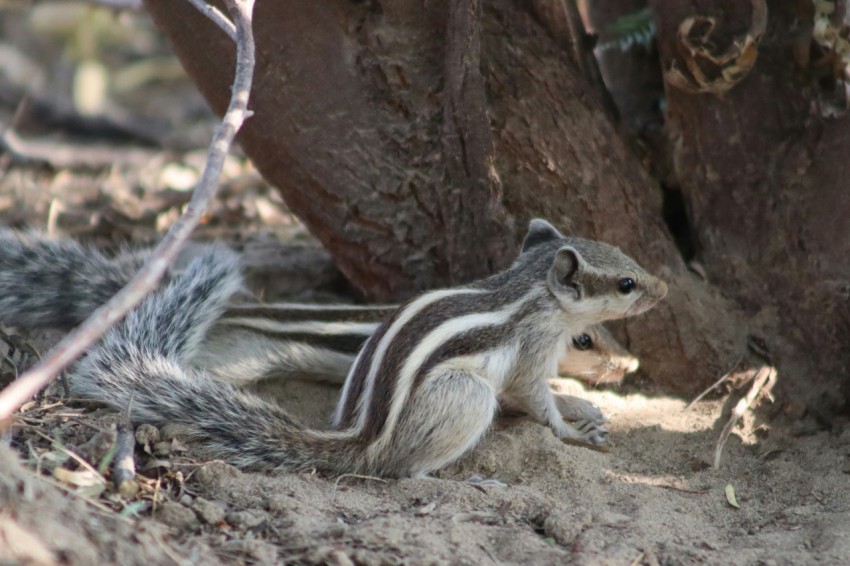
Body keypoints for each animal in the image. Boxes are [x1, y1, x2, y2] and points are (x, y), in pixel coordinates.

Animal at [0, 222, 664, 480]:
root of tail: (360, 440)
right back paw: (464, 480)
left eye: (630, 262)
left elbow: (549, 397)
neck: (525, 288)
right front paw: (574, 427)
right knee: (409, 471)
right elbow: (535, 399)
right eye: (625, 283)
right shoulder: (526, 355)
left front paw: (588, 409)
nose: (629, 365)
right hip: (462, 398)